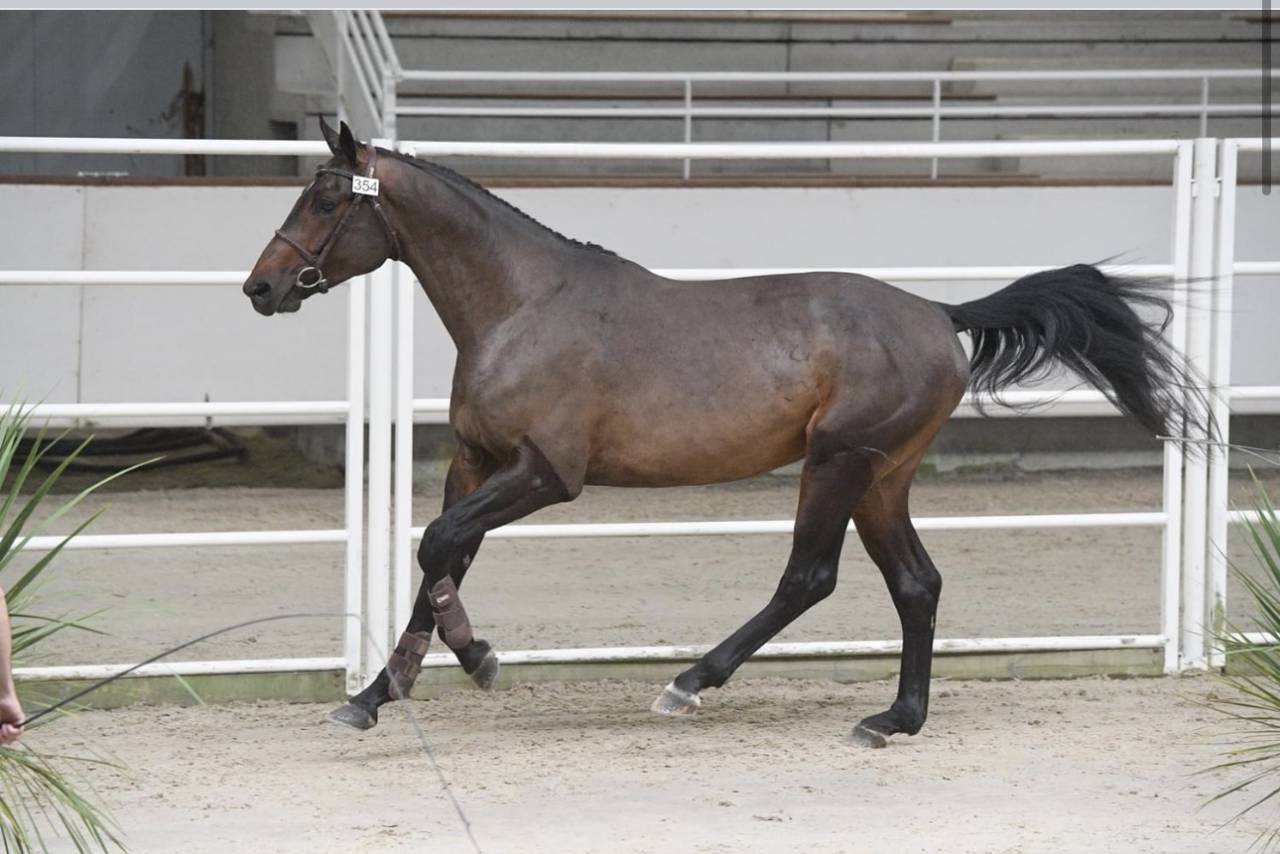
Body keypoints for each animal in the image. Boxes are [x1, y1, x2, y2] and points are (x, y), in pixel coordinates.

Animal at [243, 119, 1201, 748]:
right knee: (917, 584)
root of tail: (939, 313)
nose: (261, 288)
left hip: (837, 462)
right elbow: (439, 558)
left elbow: (438, 545)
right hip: (882, 475)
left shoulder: (546, 474)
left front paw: (478, 660)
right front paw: (375, 696)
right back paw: (895, 719)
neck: (524, 306)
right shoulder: (475, 463)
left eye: (325, 199)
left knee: (810, 578)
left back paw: (689, 684)